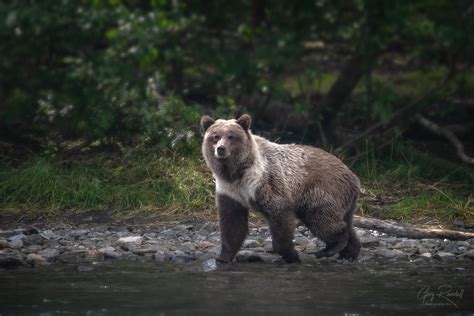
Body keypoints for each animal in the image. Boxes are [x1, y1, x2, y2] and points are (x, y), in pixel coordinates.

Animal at [199, 115, 360, 262]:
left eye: (231, 136)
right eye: (215, 136)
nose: (220, 149)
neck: (236, 173)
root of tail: (353, 176)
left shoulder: (264, 181)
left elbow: (279, 212)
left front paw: (291, 254)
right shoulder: (230, 191)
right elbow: (232, 222)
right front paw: (223, 256)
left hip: (322, 189)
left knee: (320, 217)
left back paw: (331, 247)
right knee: (344, 221)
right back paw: (349, 252)